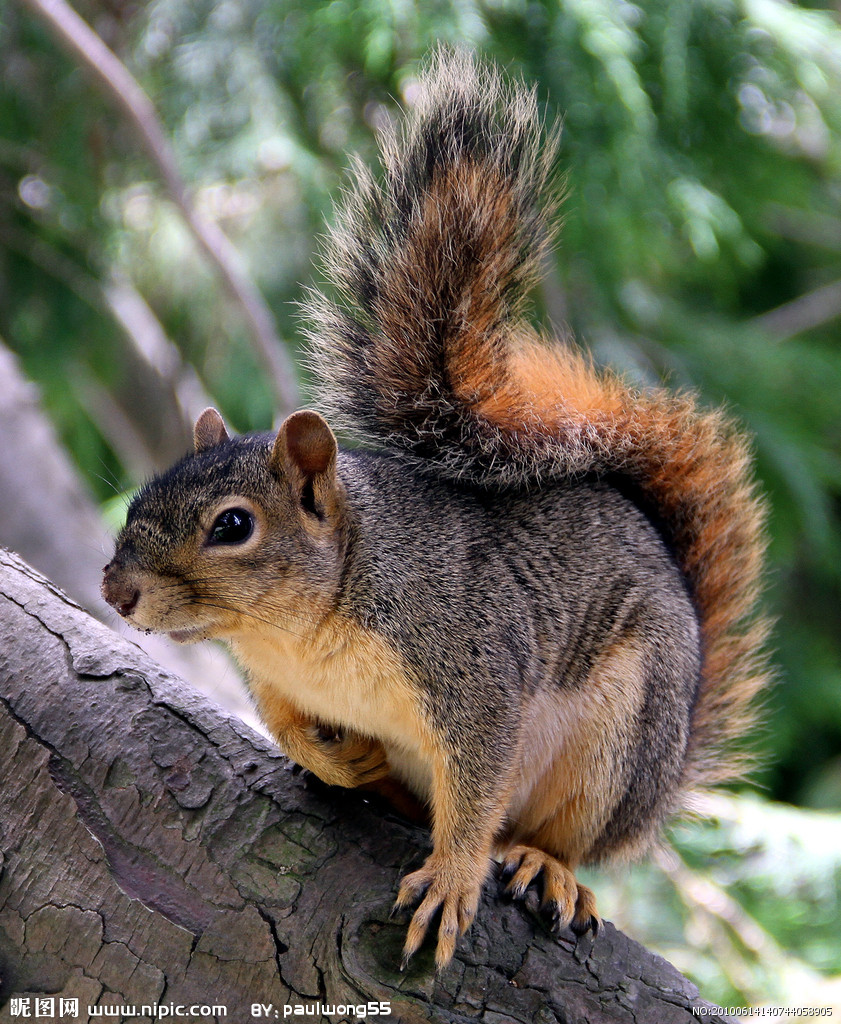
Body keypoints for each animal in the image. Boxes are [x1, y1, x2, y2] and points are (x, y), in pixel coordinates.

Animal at [102, 50, 770, 971]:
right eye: (144, 492)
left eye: (232, 526)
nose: (116, 590)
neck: (302, 631)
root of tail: (662, 779)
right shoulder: (274, 684)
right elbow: (286, 726)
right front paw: (338, 762)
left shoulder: (474, 666)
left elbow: (477, 792)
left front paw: (453, 877)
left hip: (618, 742)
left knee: (562, 833)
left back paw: (545, 865)